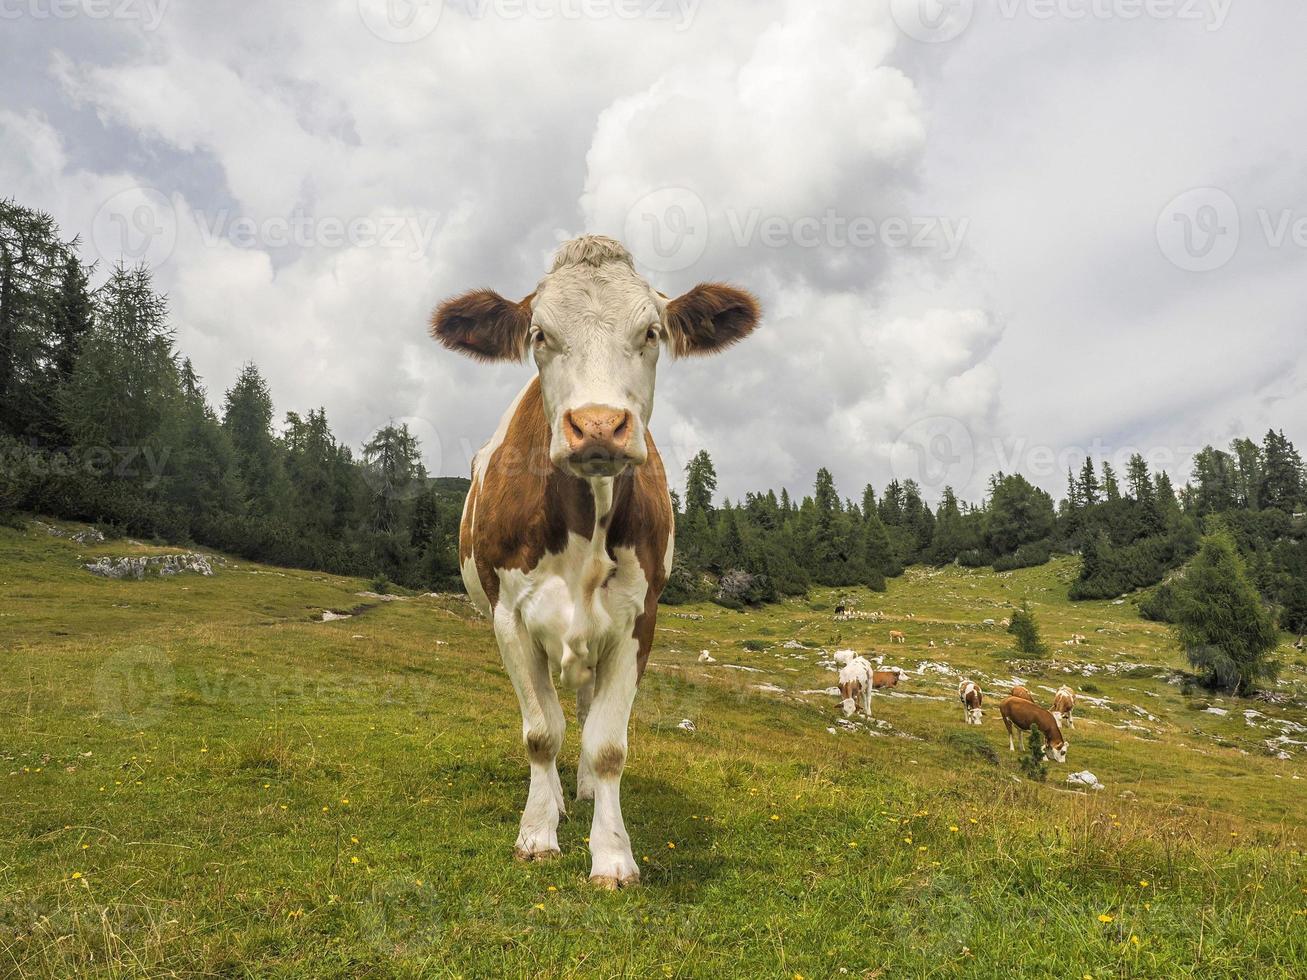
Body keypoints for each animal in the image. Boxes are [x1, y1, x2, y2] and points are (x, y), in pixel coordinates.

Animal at [428, 233, 763, 888]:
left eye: (652, 331)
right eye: (539, 333)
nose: (599, 426)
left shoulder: (638, 620)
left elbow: (607, 744)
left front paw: (610, 853)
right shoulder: (509, 616)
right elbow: (540, 733)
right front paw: (537, 833)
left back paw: (579, 789)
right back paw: (557, 798)